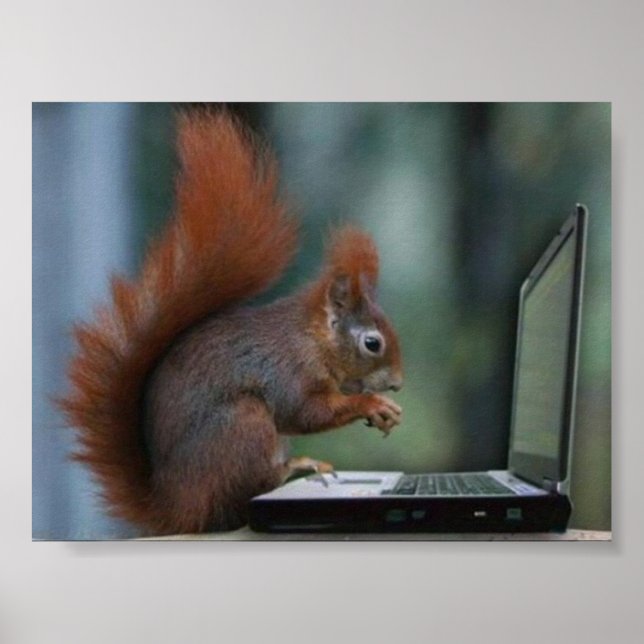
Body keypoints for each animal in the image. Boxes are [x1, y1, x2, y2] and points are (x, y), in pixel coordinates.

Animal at [60, 110, 403, 536]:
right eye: (372, 343)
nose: (398, 384)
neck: (312, 340)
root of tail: (178, 509)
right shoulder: (287, 371)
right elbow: (305, 412)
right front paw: (373, 403)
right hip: (244, 425)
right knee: (245, 494)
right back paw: (296, 467)